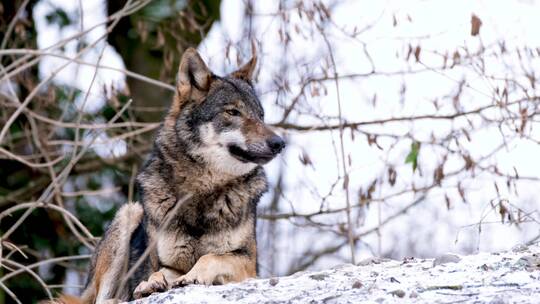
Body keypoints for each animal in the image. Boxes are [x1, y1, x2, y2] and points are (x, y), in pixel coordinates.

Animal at [57, 48, 286, 304]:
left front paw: (192, 276)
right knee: (104, 299)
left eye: (260, 116)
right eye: (232, 112)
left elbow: (211, 257)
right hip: (129, 214)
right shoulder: (167, 263)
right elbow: (159, 271)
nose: (279, 143)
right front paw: (151, 283)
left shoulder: (247, 263)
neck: (201, 192)